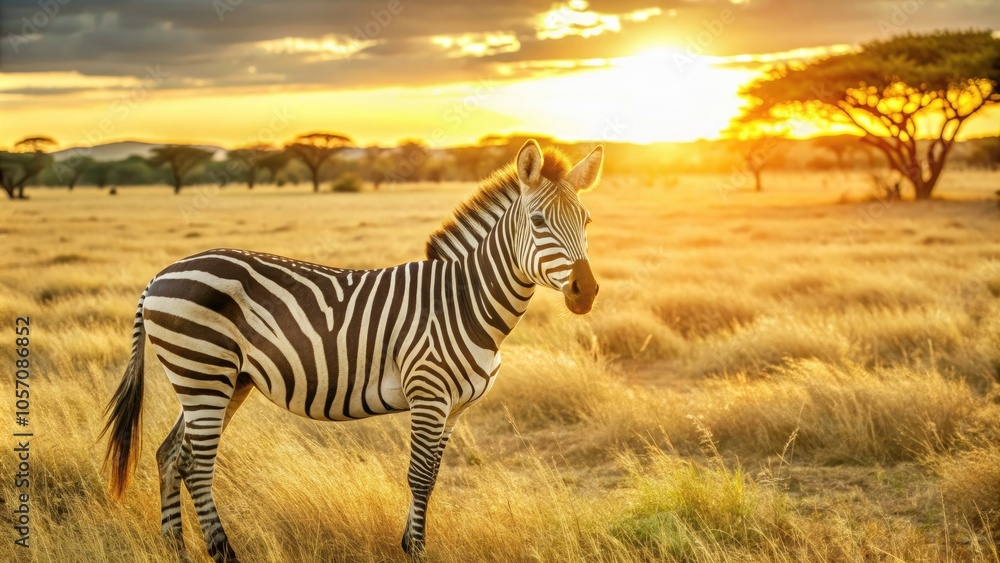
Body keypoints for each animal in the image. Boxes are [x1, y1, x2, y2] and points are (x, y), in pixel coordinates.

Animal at [102, 139, 603, 562]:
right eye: (538, 223)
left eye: (587, 222)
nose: (586, 292)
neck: (463, 300)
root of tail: (160, 275)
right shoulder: (428, 394)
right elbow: (419, 475)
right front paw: (415, 551)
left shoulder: (455, 408)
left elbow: (433, 477)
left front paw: (411, 543)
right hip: (203, 371)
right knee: (197, 464)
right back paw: (223, 552)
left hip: (222, 380)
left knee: (171, 455)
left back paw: (176, 549)